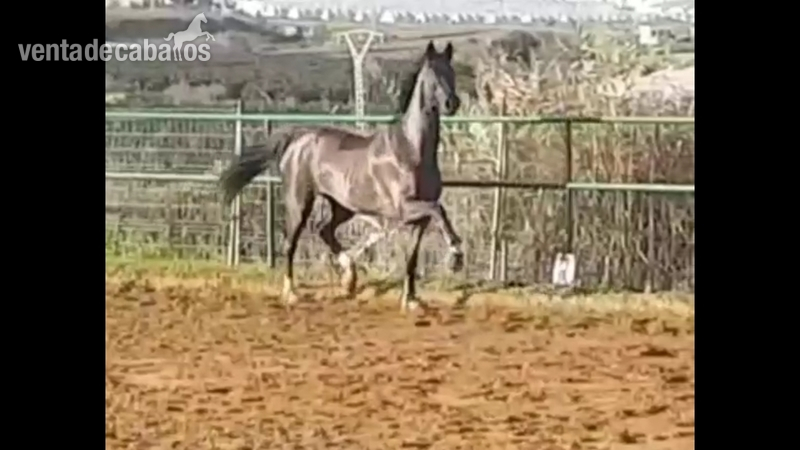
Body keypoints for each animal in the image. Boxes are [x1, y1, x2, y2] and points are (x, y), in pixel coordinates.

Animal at [220, 41, 463, 312]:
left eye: (451, 72)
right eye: (433, 76)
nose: (452, 103)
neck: (411, 149)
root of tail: (298, 139)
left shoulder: (418, 220)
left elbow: (412, 257)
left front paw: (410, 301)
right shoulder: (405, 207)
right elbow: (439, 210)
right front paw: (456, 256)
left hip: (342, 206)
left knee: (324, 230)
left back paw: (349, 277)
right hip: (299, 202)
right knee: (290, 243)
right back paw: (291, 293)